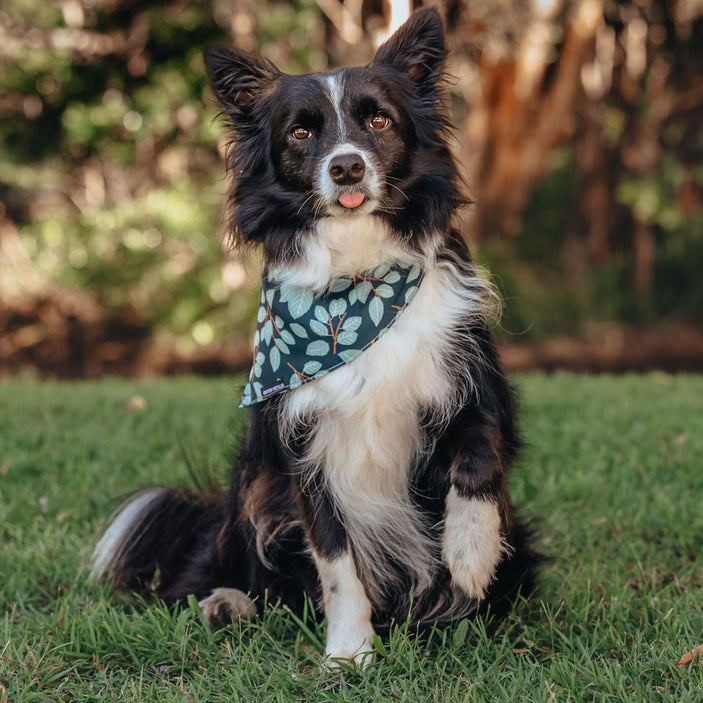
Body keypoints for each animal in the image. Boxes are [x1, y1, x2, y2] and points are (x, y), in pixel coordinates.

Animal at [91, 8, 536, 668]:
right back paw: (227, 602)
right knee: (234, 567)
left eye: (378, 120)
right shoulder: (305, 442)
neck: (356, 278)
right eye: (301, 133)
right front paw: (349, 653)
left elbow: (478, 458)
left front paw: (471, 554)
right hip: (251, 481)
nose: (346, 165)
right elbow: (334, 560)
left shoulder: (473, 379)